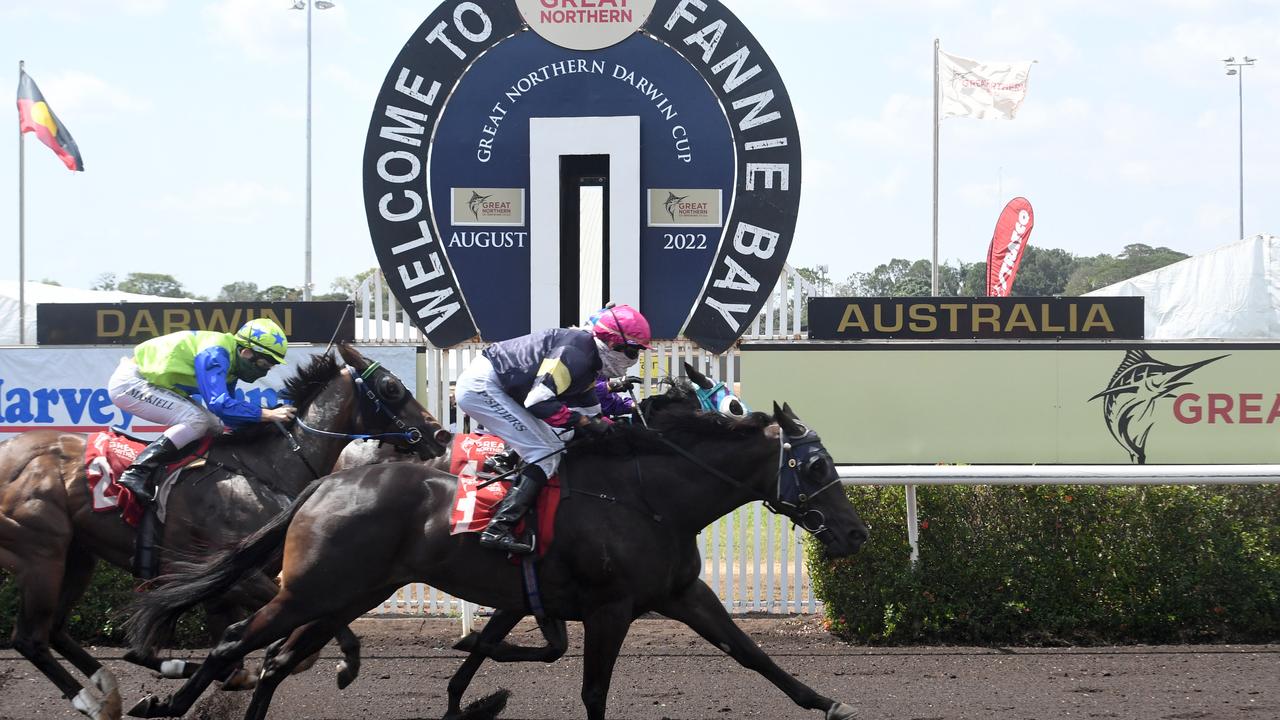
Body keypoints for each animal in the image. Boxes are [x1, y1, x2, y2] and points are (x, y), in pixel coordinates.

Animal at [0, 345, 450, 712]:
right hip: (42, 553)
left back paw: (109, 691)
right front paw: (340, 663)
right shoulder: (243, 576)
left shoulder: (226, 586)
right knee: (30, 638)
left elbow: (231, 650)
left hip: (78, 556)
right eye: (391, 388)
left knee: (55, 631)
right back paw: (94, 701)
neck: (268, 468)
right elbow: (301, 641)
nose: (440, 433)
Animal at [127, 397, 870, 717]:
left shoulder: (680, 592)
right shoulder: (611, 607)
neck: (644, 494)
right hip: (312, 590)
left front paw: (828, 701)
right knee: (235, 640)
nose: (857, 533)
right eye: (814, 465)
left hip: (349, 592)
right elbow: (590, 687)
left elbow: (751, 653)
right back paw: (164, 703)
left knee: (277, 658)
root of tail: (325, 482)